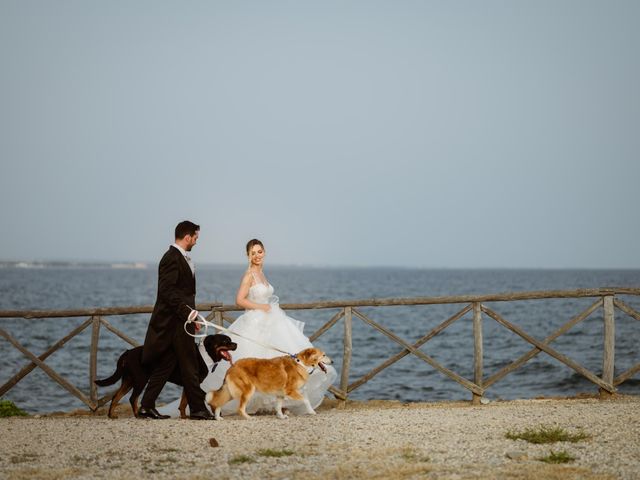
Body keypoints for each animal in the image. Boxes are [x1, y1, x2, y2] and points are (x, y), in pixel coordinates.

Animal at [94, 336, 236, 418]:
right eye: (225, 341)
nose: (236, 344)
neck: (205, 354)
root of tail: (127, 353)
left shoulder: (188, 383)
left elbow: (184, 402)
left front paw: (184, 416)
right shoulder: (193, 381)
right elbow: (203, 395)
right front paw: (214, 411)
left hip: (128, 380)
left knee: (116, 396)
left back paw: (111, 415)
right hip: (140, 379)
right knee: (133, 398)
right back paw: (138, 415)